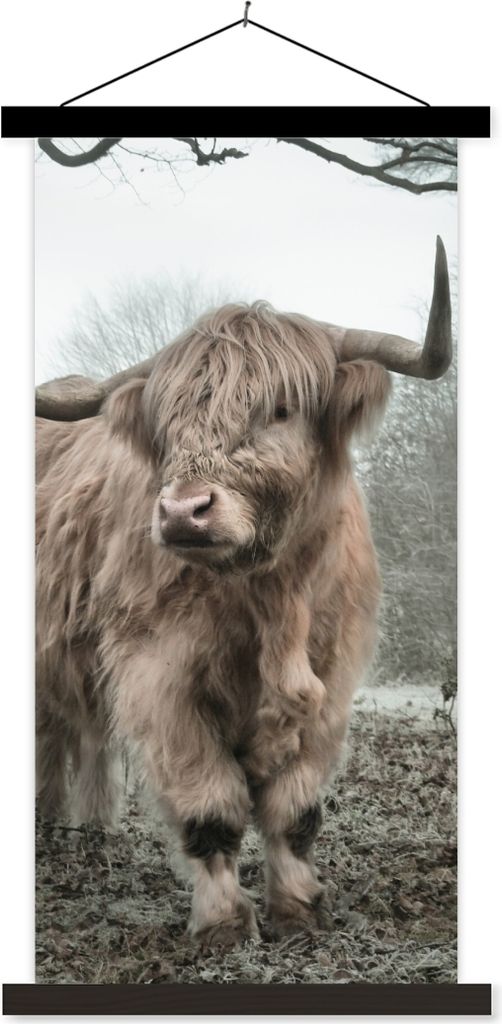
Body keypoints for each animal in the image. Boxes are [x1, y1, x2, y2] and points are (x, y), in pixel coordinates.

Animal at [35, 238, 451, 947]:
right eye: (168, 423)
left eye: (280, 409)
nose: (183, 512)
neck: (270, 599)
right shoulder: (160, 679)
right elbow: (212, 809)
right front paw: (224, 925)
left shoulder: (331, 680)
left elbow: (296, 811)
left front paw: (300, 910)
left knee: (87, 736)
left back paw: (90, 832)